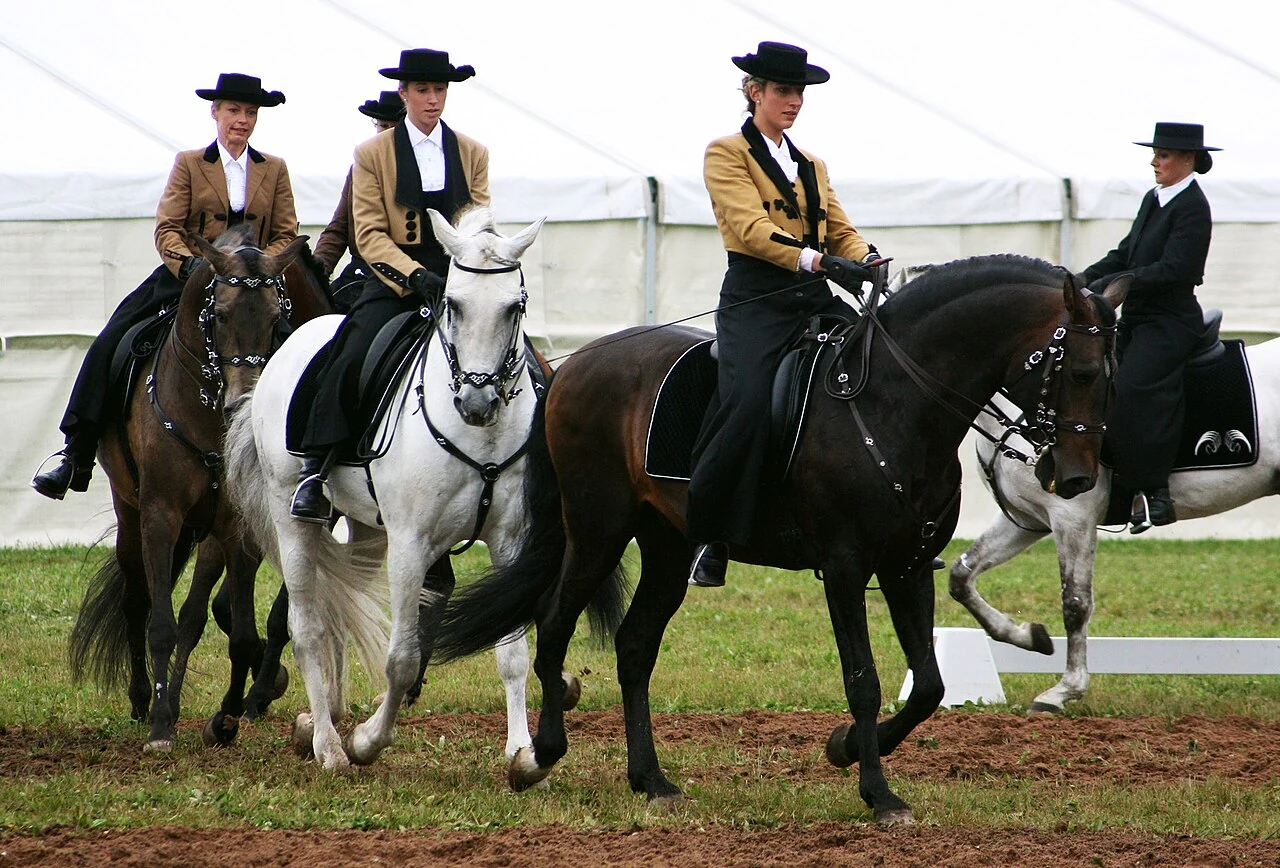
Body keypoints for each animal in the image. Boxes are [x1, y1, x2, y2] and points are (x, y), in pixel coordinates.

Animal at [68, 225, 310, 753]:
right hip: (131, 515)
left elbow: (238, 633)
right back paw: (144, 701)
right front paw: (161, 726)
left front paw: (229, 718)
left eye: (277, 320)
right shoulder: (161, 515)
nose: (242, 401)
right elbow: (160, 624)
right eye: (218, 315)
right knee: (137, 602)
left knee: (197, 613)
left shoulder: (237, 528)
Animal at [224, 206, 614, 772]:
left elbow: (512, 653)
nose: (477, 402)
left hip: (363, 525)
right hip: (290, 513)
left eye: (514, 307)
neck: (481, 436)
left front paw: (521, 751)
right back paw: (328, 746)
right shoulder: (411, 546)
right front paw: (367, 741)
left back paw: (321, 725)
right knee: (307, 626)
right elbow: (402, 658)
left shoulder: (511, 542)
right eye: (452, 303)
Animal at [430, 256, 1126, 823]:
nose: (1076, 478)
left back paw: (651, 780)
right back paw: (539, 757)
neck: (895, 404)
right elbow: (864, 680)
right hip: (598, 528)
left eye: (1109, 375)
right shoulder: (845, 567)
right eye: (1081, 371)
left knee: (634, 648)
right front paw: (878, 793)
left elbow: (928, 685)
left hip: (667, 546)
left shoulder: (908, 566)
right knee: (554, 621)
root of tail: (576, 364)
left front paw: (844, 749)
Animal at [949, 336, 1280, 713]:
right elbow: (961, 576)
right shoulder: (1026, 520)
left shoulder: (1072, 516)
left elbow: (1075, 602)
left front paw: (1063, 691)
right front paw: (1029, 636)